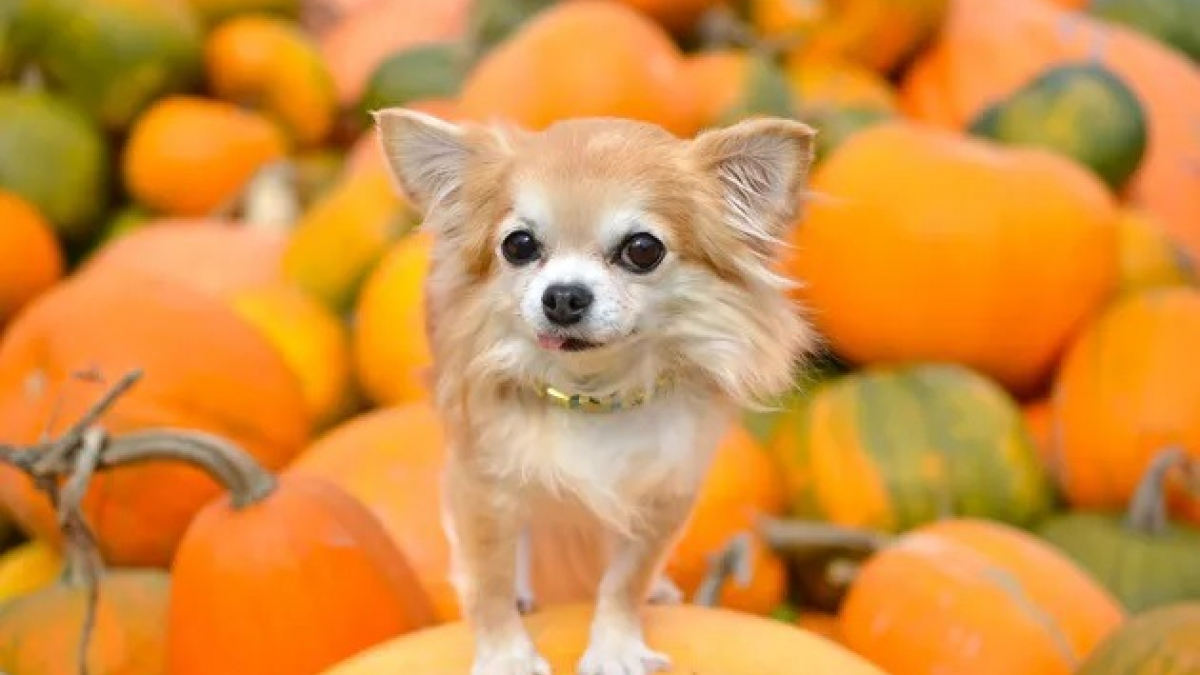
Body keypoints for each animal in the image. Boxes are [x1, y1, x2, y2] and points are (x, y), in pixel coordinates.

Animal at [374, 109, 820, 672]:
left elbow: (625, 580)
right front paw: (506, 655)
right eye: (518, 246)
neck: (592, 395)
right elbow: (489, 580)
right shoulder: (482, 483)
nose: (563, 295)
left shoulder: (661, 498)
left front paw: (616, 647)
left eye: (642, 250)